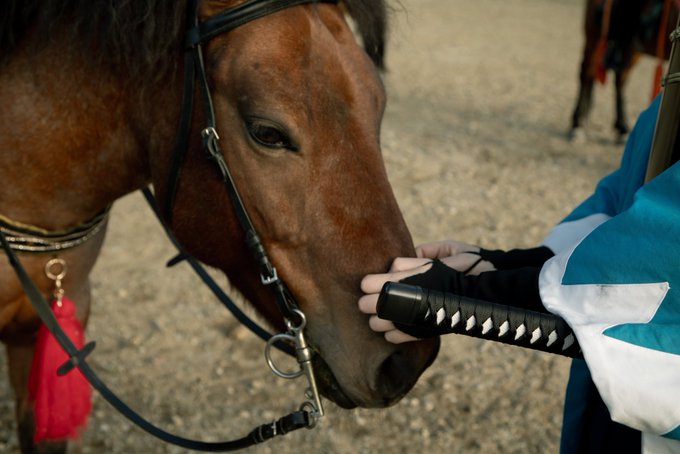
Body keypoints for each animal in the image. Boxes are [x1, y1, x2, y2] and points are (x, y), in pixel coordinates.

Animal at [569, 0, 679, 142]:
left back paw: (622, 126)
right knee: (587, 74)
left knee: (619, 79)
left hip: (632, 48)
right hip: (594, 36)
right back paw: (578, 123)